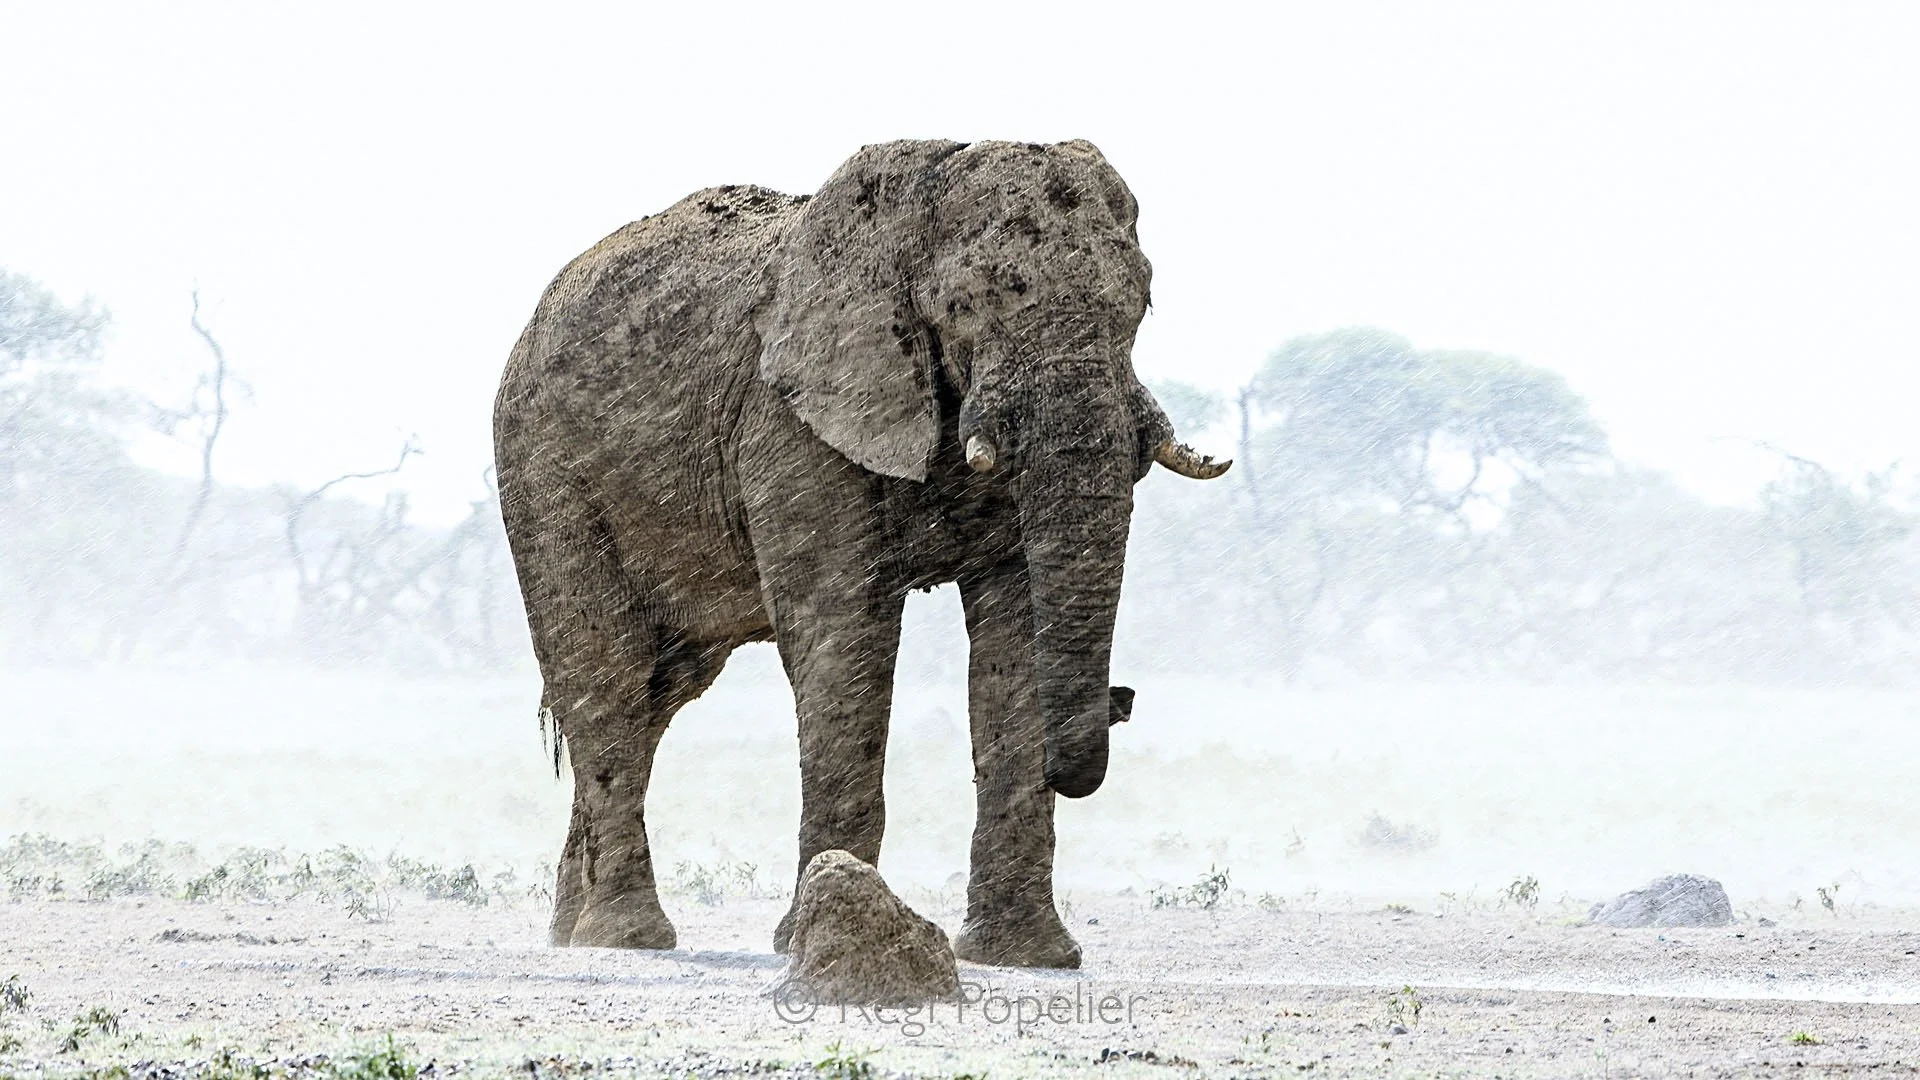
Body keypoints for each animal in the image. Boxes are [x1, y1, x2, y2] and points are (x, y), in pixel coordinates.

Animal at [492, 138, 1228, 969]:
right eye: (964, 305)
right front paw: (805, 940)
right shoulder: (788, 419)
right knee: (607, 680)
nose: (1122, 700)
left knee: (659, 692)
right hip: (544, 471)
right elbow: (844, 637)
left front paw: (1024, 957)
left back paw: (570, 933)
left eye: (1140, 304)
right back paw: (627, 939)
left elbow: (1011, 647)